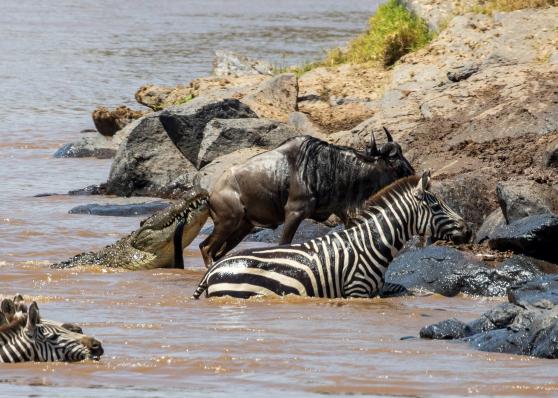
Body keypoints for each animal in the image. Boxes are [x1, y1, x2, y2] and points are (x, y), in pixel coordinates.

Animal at [192, 173, 472, 300]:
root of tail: (212, 270)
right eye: (437, 207)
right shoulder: (356, 291)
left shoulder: (375, 290)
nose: (468, 230)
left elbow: (403, 289)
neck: (370, 245)